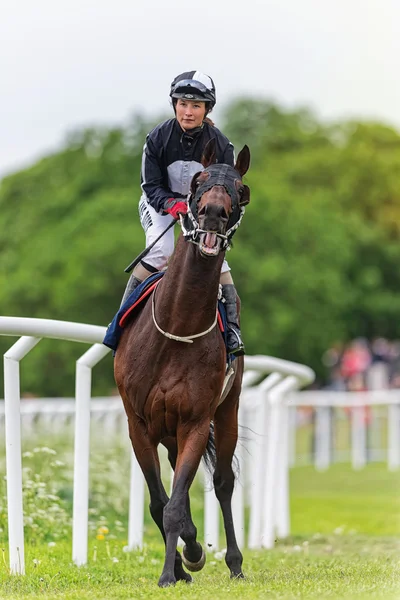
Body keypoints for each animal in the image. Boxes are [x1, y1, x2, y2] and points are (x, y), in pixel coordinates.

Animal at [113, 139, 250, 584]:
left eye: (240, 189)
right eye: (198, 180)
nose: (213, 212)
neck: (176, 328)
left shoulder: (195, 421)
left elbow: (176, 502)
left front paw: (175, 569)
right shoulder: (138, 424)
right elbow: (160, 501)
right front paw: (179, 564)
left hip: (227, 409)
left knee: (222, 481)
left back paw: (234, 562)